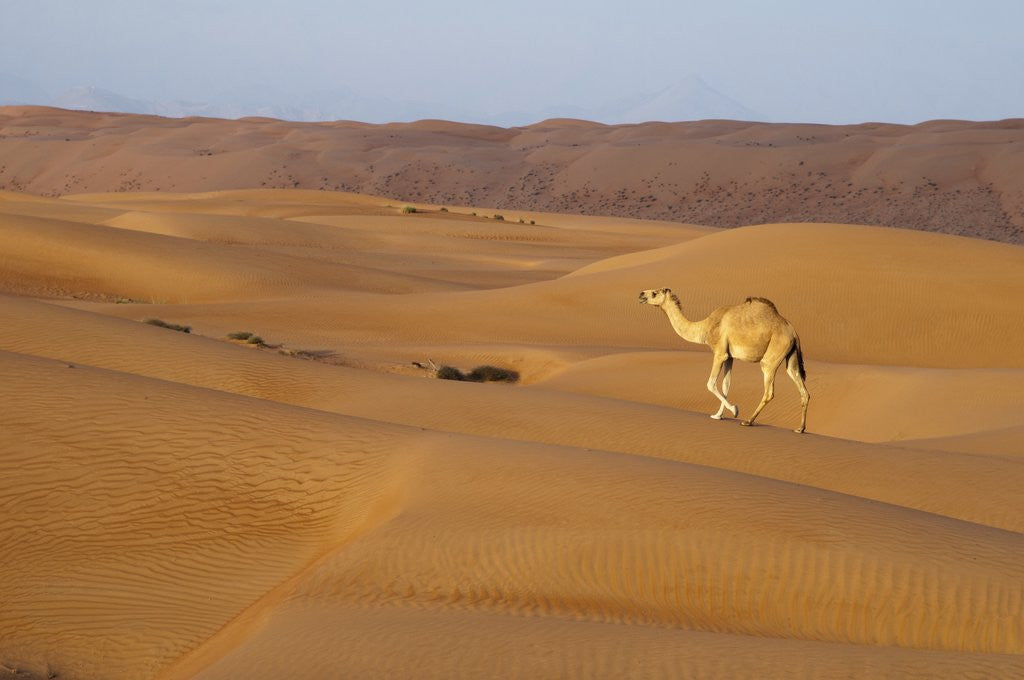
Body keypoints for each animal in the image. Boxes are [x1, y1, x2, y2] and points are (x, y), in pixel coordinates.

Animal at [638, 288, 809, 433]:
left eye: (654, 293)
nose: (641, 294)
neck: (705, 327)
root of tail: (793, 332)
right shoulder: (730, 356)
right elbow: (726, 384)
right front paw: (718, 415)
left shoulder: (720, 353)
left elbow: (711, 383)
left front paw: (734, 410)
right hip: (791, 357)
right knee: (802, 389)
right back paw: (800, 429)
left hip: (772, 356)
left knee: (769, 391)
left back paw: (748, 421)